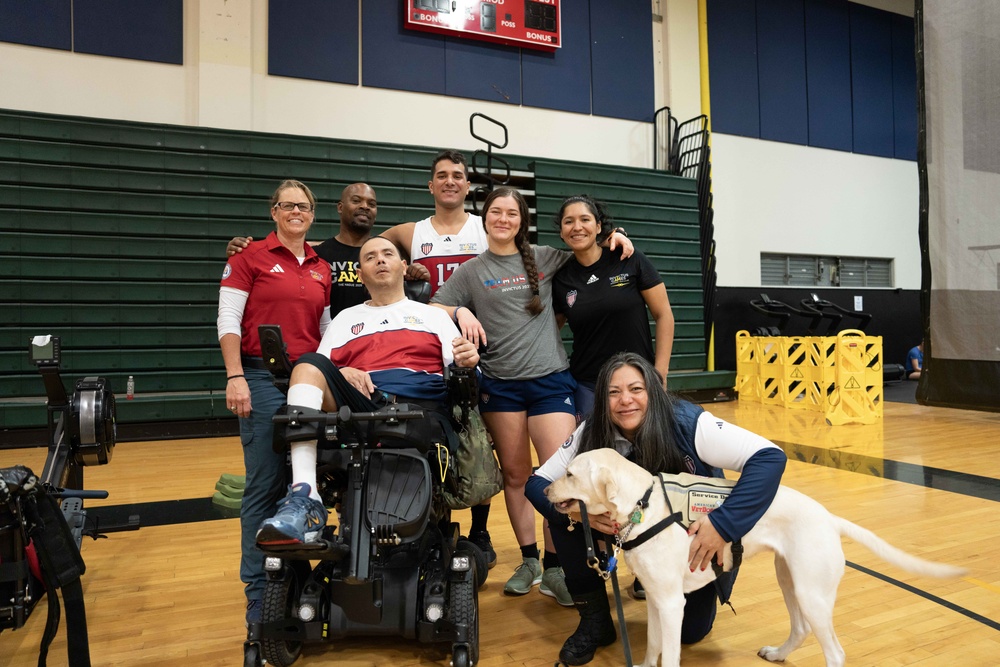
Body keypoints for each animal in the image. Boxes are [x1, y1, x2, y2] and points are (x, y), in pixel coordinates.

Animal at [544, 448, 964, 667]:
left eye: (569, 474)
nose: (544, 490)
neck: (642, 508)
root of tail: (829, 518)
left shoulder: (672, 605)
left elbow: (670, 655)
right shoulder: (656, 601)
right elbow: (652, 649)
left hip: (812, 593)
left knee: (835, 652)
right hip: (790, 581)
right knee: (800, 630)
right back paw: (777, 654)